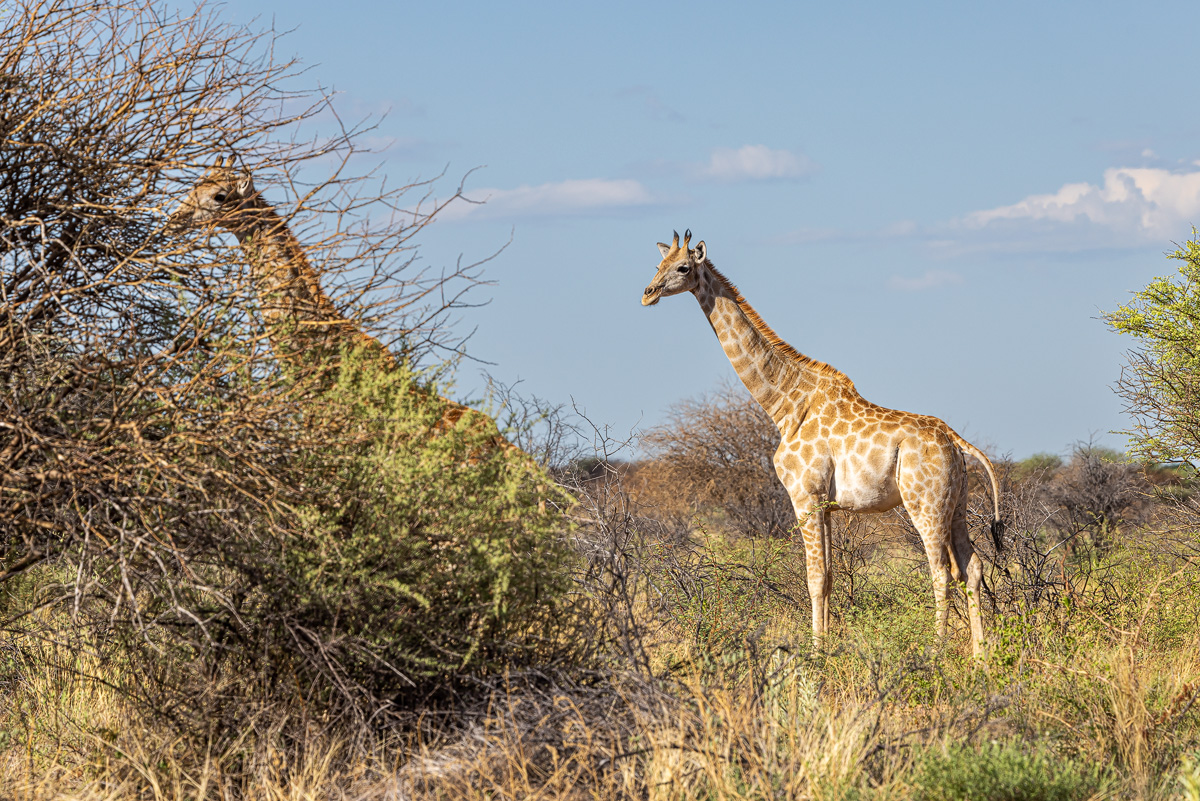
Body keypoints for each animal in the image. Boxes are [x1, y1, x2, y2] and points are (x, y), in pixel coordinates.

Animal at [641, 230, 1003, 657]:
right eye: (658, 264)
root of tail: (957, 441)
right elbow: (828, 576)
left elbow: (813, 577)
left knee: (941, 571)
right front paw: (826, 647)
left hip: (924, 502)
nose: (647, 293)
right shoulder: (826, 504)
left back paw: (935, 652)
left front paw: (814, 654)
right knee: (972, 566)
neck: (785, 405)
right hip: (957, 502)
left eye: (683, 268)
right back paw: (981, 656)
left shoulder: (804, 495)